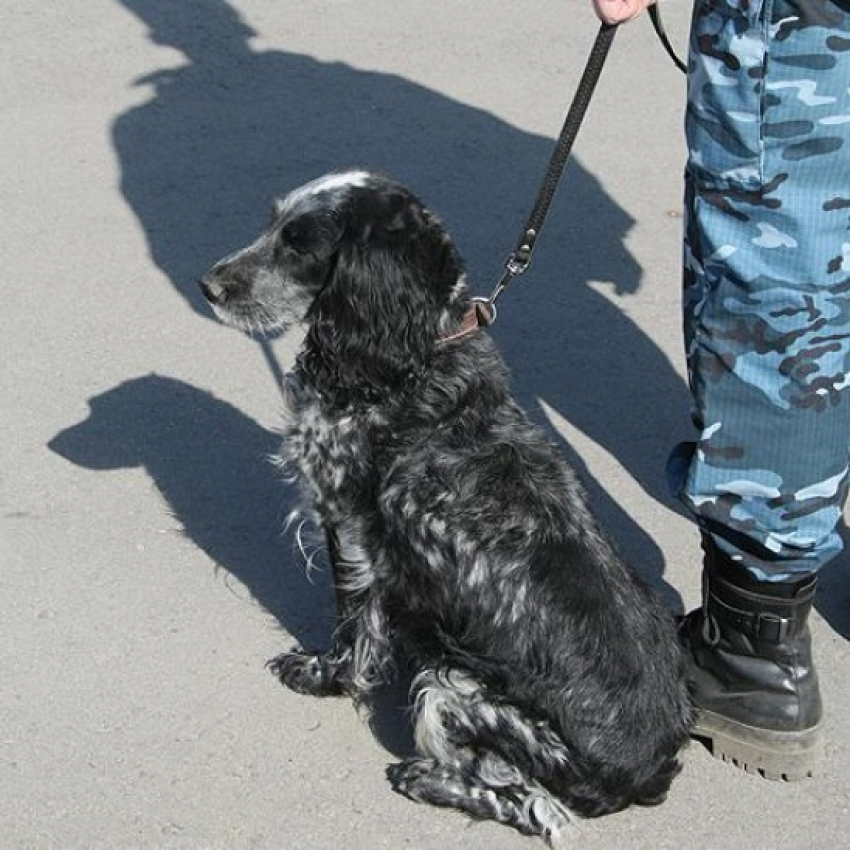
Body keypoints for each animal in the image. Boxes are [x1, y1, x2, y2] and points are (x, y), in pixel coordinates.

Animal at [200, 169, 688, 840]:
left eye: (299, 244)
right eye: (272, 224)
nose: (207, 286)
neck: (412, 357)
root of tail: (647, 771)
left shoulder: (351, 531)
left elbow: (350, 636)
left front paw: (321, 678)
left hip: (454, 685)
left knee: (533, 807)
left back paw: (421, 777)